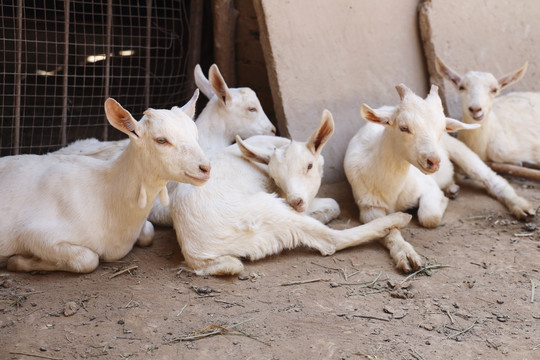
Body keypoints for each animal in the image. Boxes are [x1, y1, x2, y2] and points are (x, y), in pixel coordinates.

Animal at [0, 93, 210, 272]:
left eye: (196, 135)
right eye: (161, 140)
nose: (205, 168)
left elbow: (149, 233)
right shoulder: (35, 234)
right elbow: (88, 260)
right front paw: (17, 261)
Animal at [169, 109, 410, 276]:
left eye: (309, 166)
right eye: (275, 178)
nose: (296, 201)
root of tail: (197, 253)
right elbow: (334, 204)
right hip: (269, 213)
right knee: (331, 240)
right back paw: (397, 219)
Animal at [346, 83, 536, 272]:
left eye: (442, 128)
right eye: (403, 127)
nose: (434, 161)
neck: (394, 187)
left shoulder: (428, 187)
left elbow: (428, 217)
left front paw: (443, 201)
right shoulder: (369, 207)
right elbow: (386, 228)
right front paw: (406, 255)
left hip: (460, 149)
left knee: (492, 179)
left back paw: (521, 207)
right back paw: (453, 189)